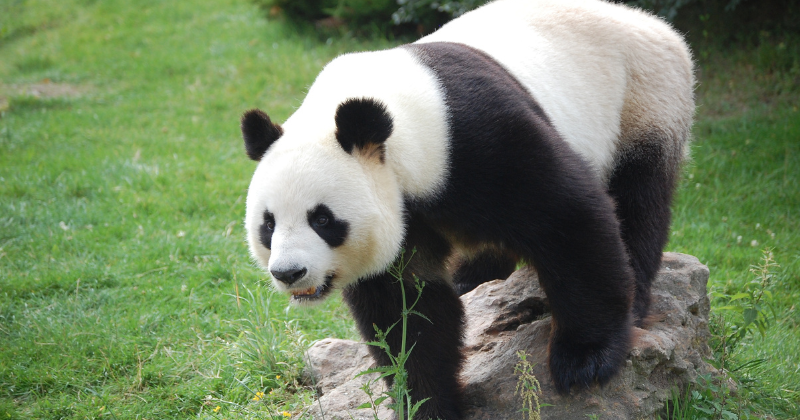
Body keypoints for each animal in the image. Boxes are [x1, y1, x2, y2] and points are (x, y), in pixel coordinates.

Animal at [239, 0, 692, 418]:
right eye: (268, 225)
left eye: (322, 219)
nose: (289, 272)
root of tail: (648, 21)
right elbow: (408, 310)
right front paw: (426, 403)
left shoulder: (474, 140)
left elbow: (568, 219)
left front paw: (584, 361)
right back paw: (472, 279)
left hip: (643, 100)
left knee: (637, 201)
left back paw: (636, 297)